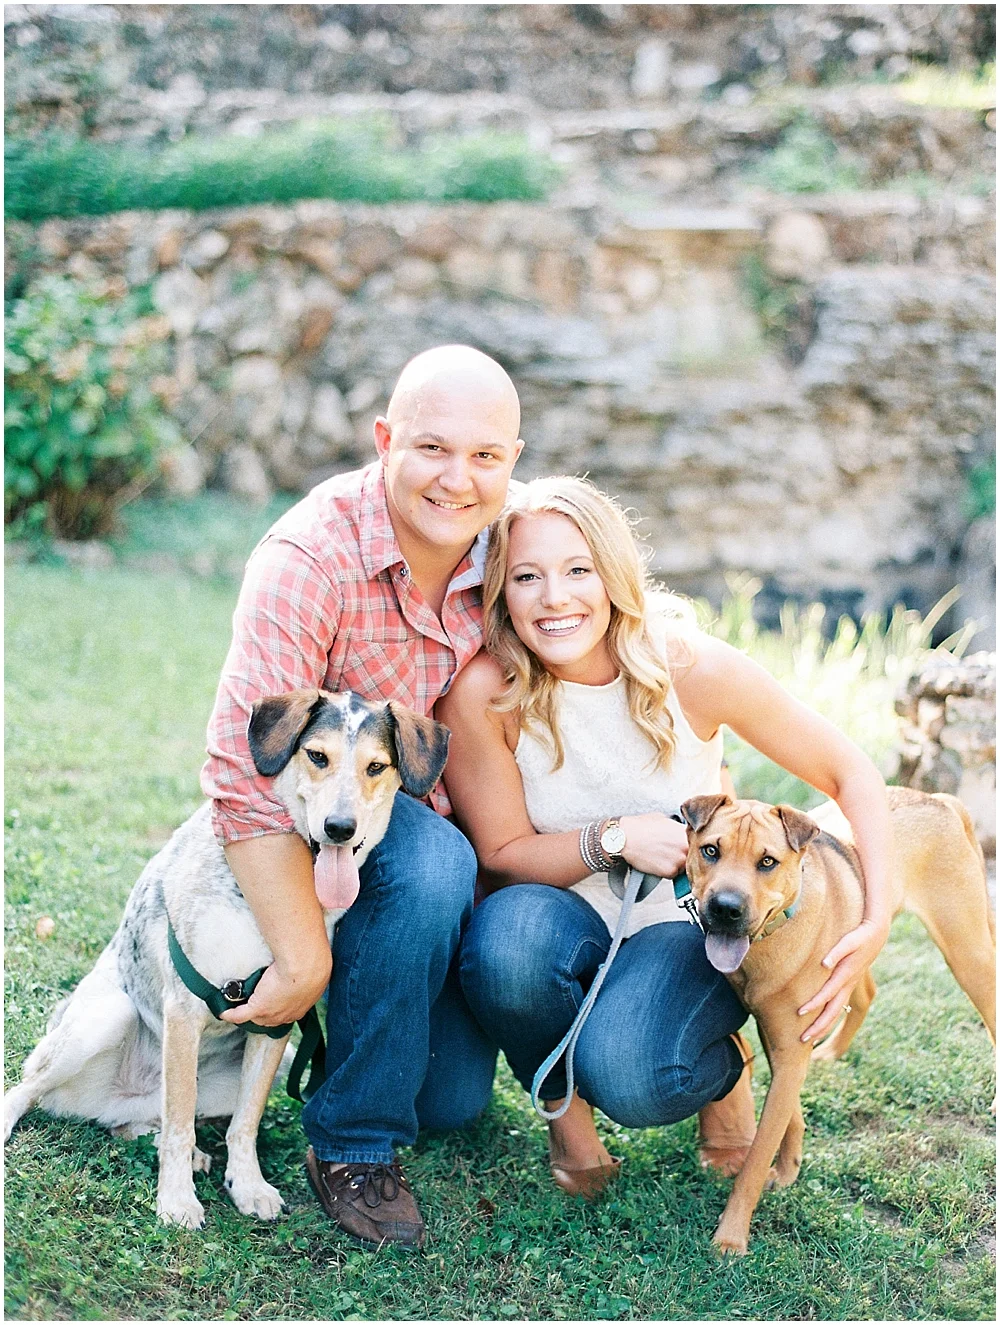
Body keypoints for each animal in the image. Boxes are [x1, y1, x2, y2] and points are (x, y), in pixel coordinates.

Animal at [3, 694, 450, 1229]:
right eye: (317, 756)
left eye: (376, 767)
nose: (340, 829)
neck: (273, 903)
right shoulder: (184, 1010)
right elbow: (180, 1125)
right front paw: (176, 1200)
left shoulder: (276, 1025)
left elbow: (245, 1123)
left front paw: (247, 1185)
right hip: (105, 1019)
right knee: (29, 1090)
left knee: (131, 1122)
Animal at [678, 789, 996, 1256]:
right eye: (710, 851)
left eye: (767, 861)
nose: (725, 908)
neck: (772, 935)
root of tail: (937, 798)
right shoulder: (780, 1040)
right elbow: (788, 1115)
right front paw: (789, 1170)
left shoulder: (791, 1046)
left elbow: (757, 1155)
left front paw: (731, 1237)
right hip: (857, 949)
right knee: (866, 993)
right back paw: (832, 1052)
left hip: (968, 954)